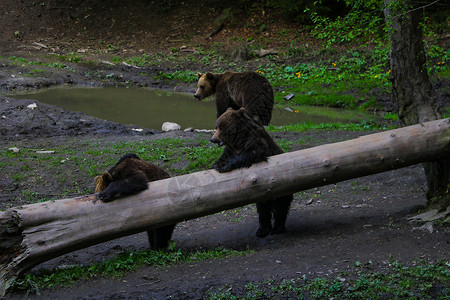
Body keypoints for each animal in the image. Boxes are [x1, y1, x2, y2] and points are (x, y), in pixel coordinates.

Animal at [210, 106, 294, 238]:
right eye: (217, 126)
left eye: (222, 127)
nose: (213, 139)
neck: (239, 139)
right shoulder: (231, 148)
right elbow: (224, 155)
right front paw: (217, 164)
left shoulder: (257, 143)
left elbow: (252, 153)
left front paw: (224, 167)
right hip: (262, 194)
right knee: (263, 208)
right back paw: (262, 230)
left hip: (284, 187)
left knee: (281, 206)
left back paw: (278, 227)